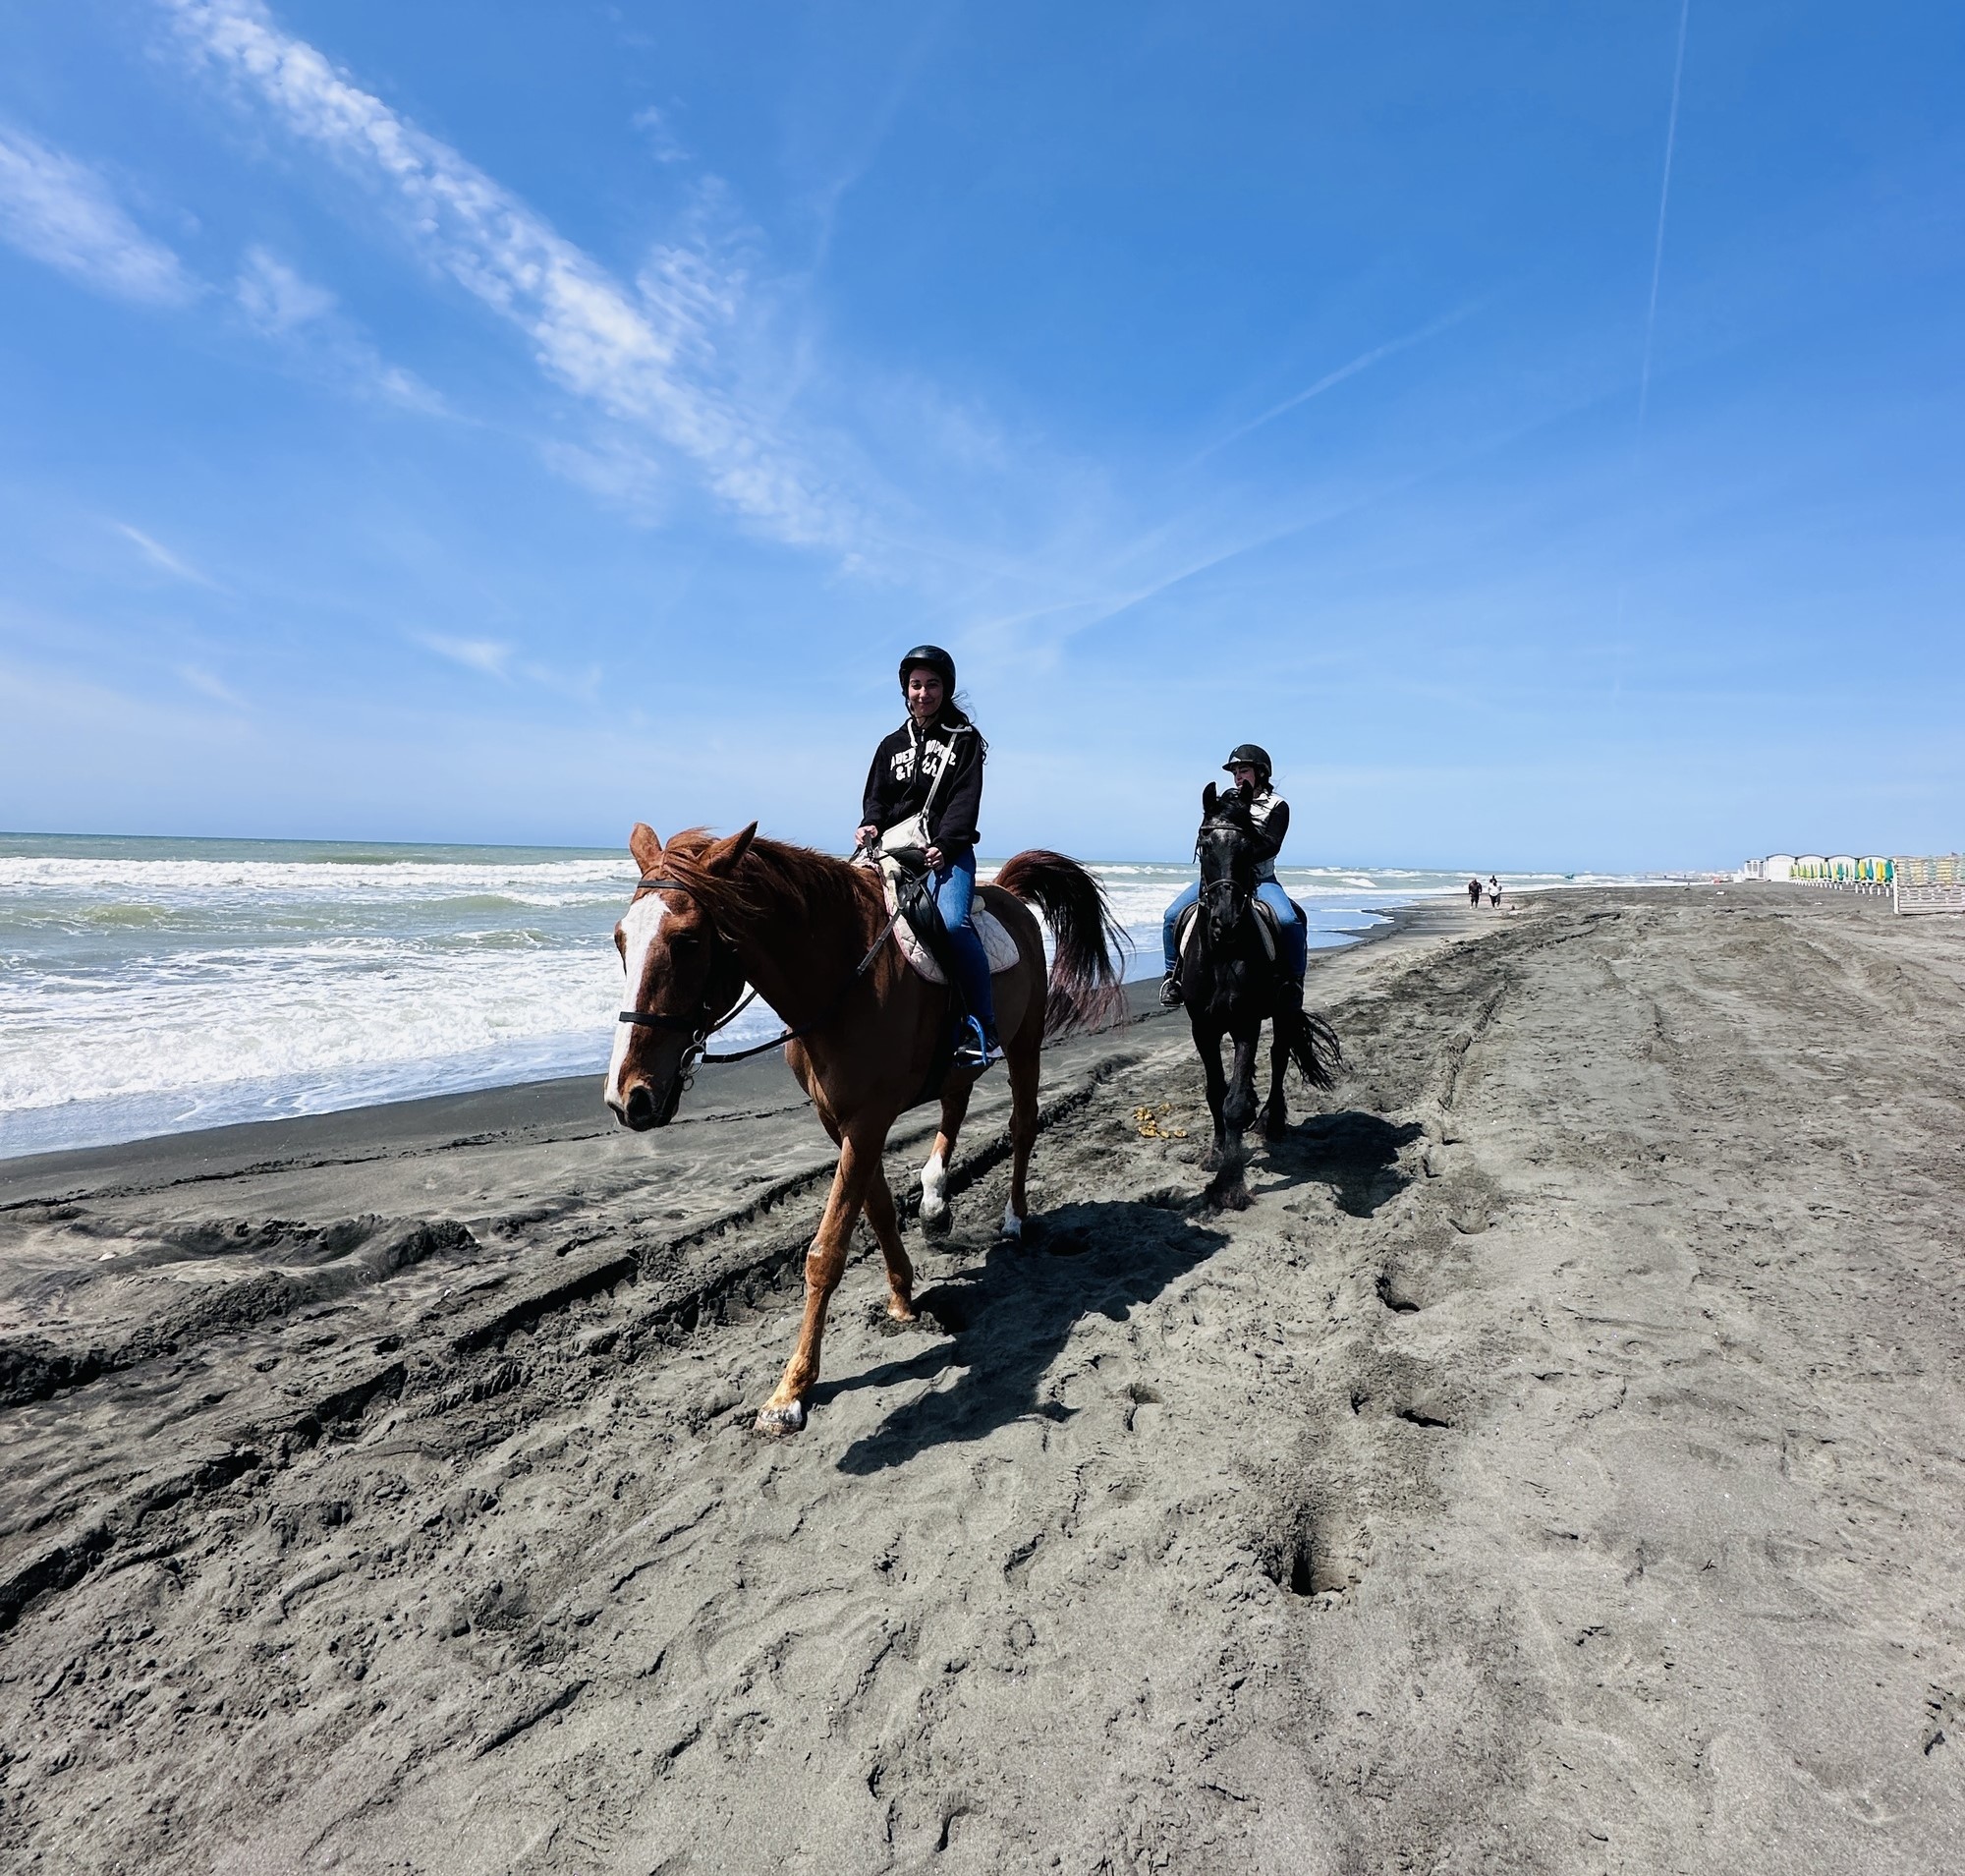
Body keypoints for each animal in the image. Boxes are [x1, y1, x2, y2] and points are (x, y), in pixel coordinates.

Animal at [601, 822, 1124, 1431]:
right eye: (620, 940)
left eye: (686, 941)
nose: (628, 1097)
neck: (840, 979)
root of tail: (1007, 894)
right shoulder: (840, 1121)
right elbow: (875, 1210)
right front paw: (902, 1296)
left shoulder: (868, 1120)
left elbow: (826, 1251)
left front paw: (790, 1391)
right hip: (960, 1066)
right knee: (956, 1102)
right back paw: (935, 1200)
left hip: (1026, 1043)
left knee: (1022, 1126)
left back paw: (1014, 1220)